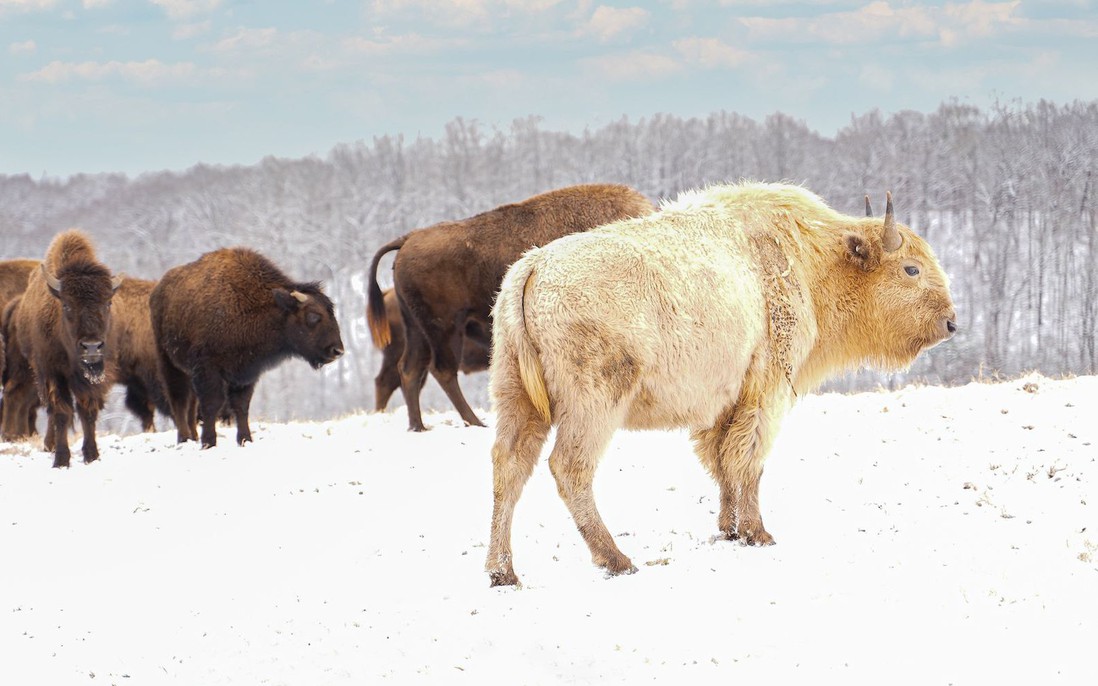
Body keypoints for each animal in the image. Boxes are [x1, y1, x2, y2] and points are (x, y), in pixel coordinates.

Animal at [14, 230, 121, 465]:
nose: (92, 347)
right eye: (66, 305)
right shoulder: (52, 374)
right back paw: (50, 445)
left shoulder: (94, 376)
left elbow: (87, 410)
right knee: (52, 412)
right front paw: (61, 459)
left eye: (108, 303)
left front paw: (91, 455)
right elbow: (61, 412)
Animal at [151, 245, 342, 450]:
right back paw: (184, 438)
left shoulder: (245, 373)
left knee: (190, 403)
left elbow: (241, 406)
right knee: (178, 399)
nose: (337, 351)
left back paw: (193, 437)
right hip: (168, 362)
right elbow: (212, 404)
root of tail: (158, 290)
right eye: (314, 315)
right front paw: (209, 442)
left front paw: (245, 439)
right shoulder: (208, 370)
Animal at [364, 182, 654, 428]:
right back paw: (475, 422)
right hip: (444, 329)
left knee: (410, 371)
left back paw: (419, 426)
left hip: (418, 331)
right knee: (440, 371)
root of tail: (407, 239)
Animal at [485, 181, 957, 583]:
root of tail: (532, 267)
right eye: (911, 269)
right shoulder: (766, 393)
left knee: (509, 468)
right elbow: (747, 461)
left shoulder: (724, 403)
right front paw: (757, 533)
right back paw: (616, 559)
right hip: (595, 406)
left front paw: (728, 529)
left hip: (516, 399)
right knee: (569, 469)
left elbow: (721, 460)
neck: (809, 260)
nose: (951, 322)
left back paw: (502, 572)